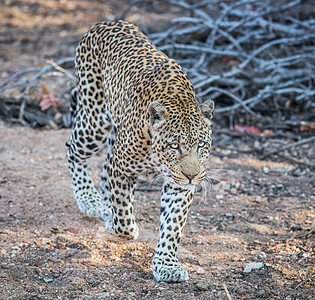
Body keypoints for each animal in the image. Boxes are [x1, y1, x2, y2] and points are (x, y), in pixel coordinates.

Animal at [66, 19, 215, 282]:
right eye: (174, 146)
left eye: (201, 145)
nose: (192, 176)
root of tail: (107, 21)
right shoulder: (121, 167)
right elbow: (124, 215)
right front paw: (122, 226)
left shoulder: (178, 185)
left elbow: (172, 225)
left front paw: (166, 265)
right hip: (94, 119)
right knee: (72, 149)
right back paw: (89, 200)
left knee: (102, 169)